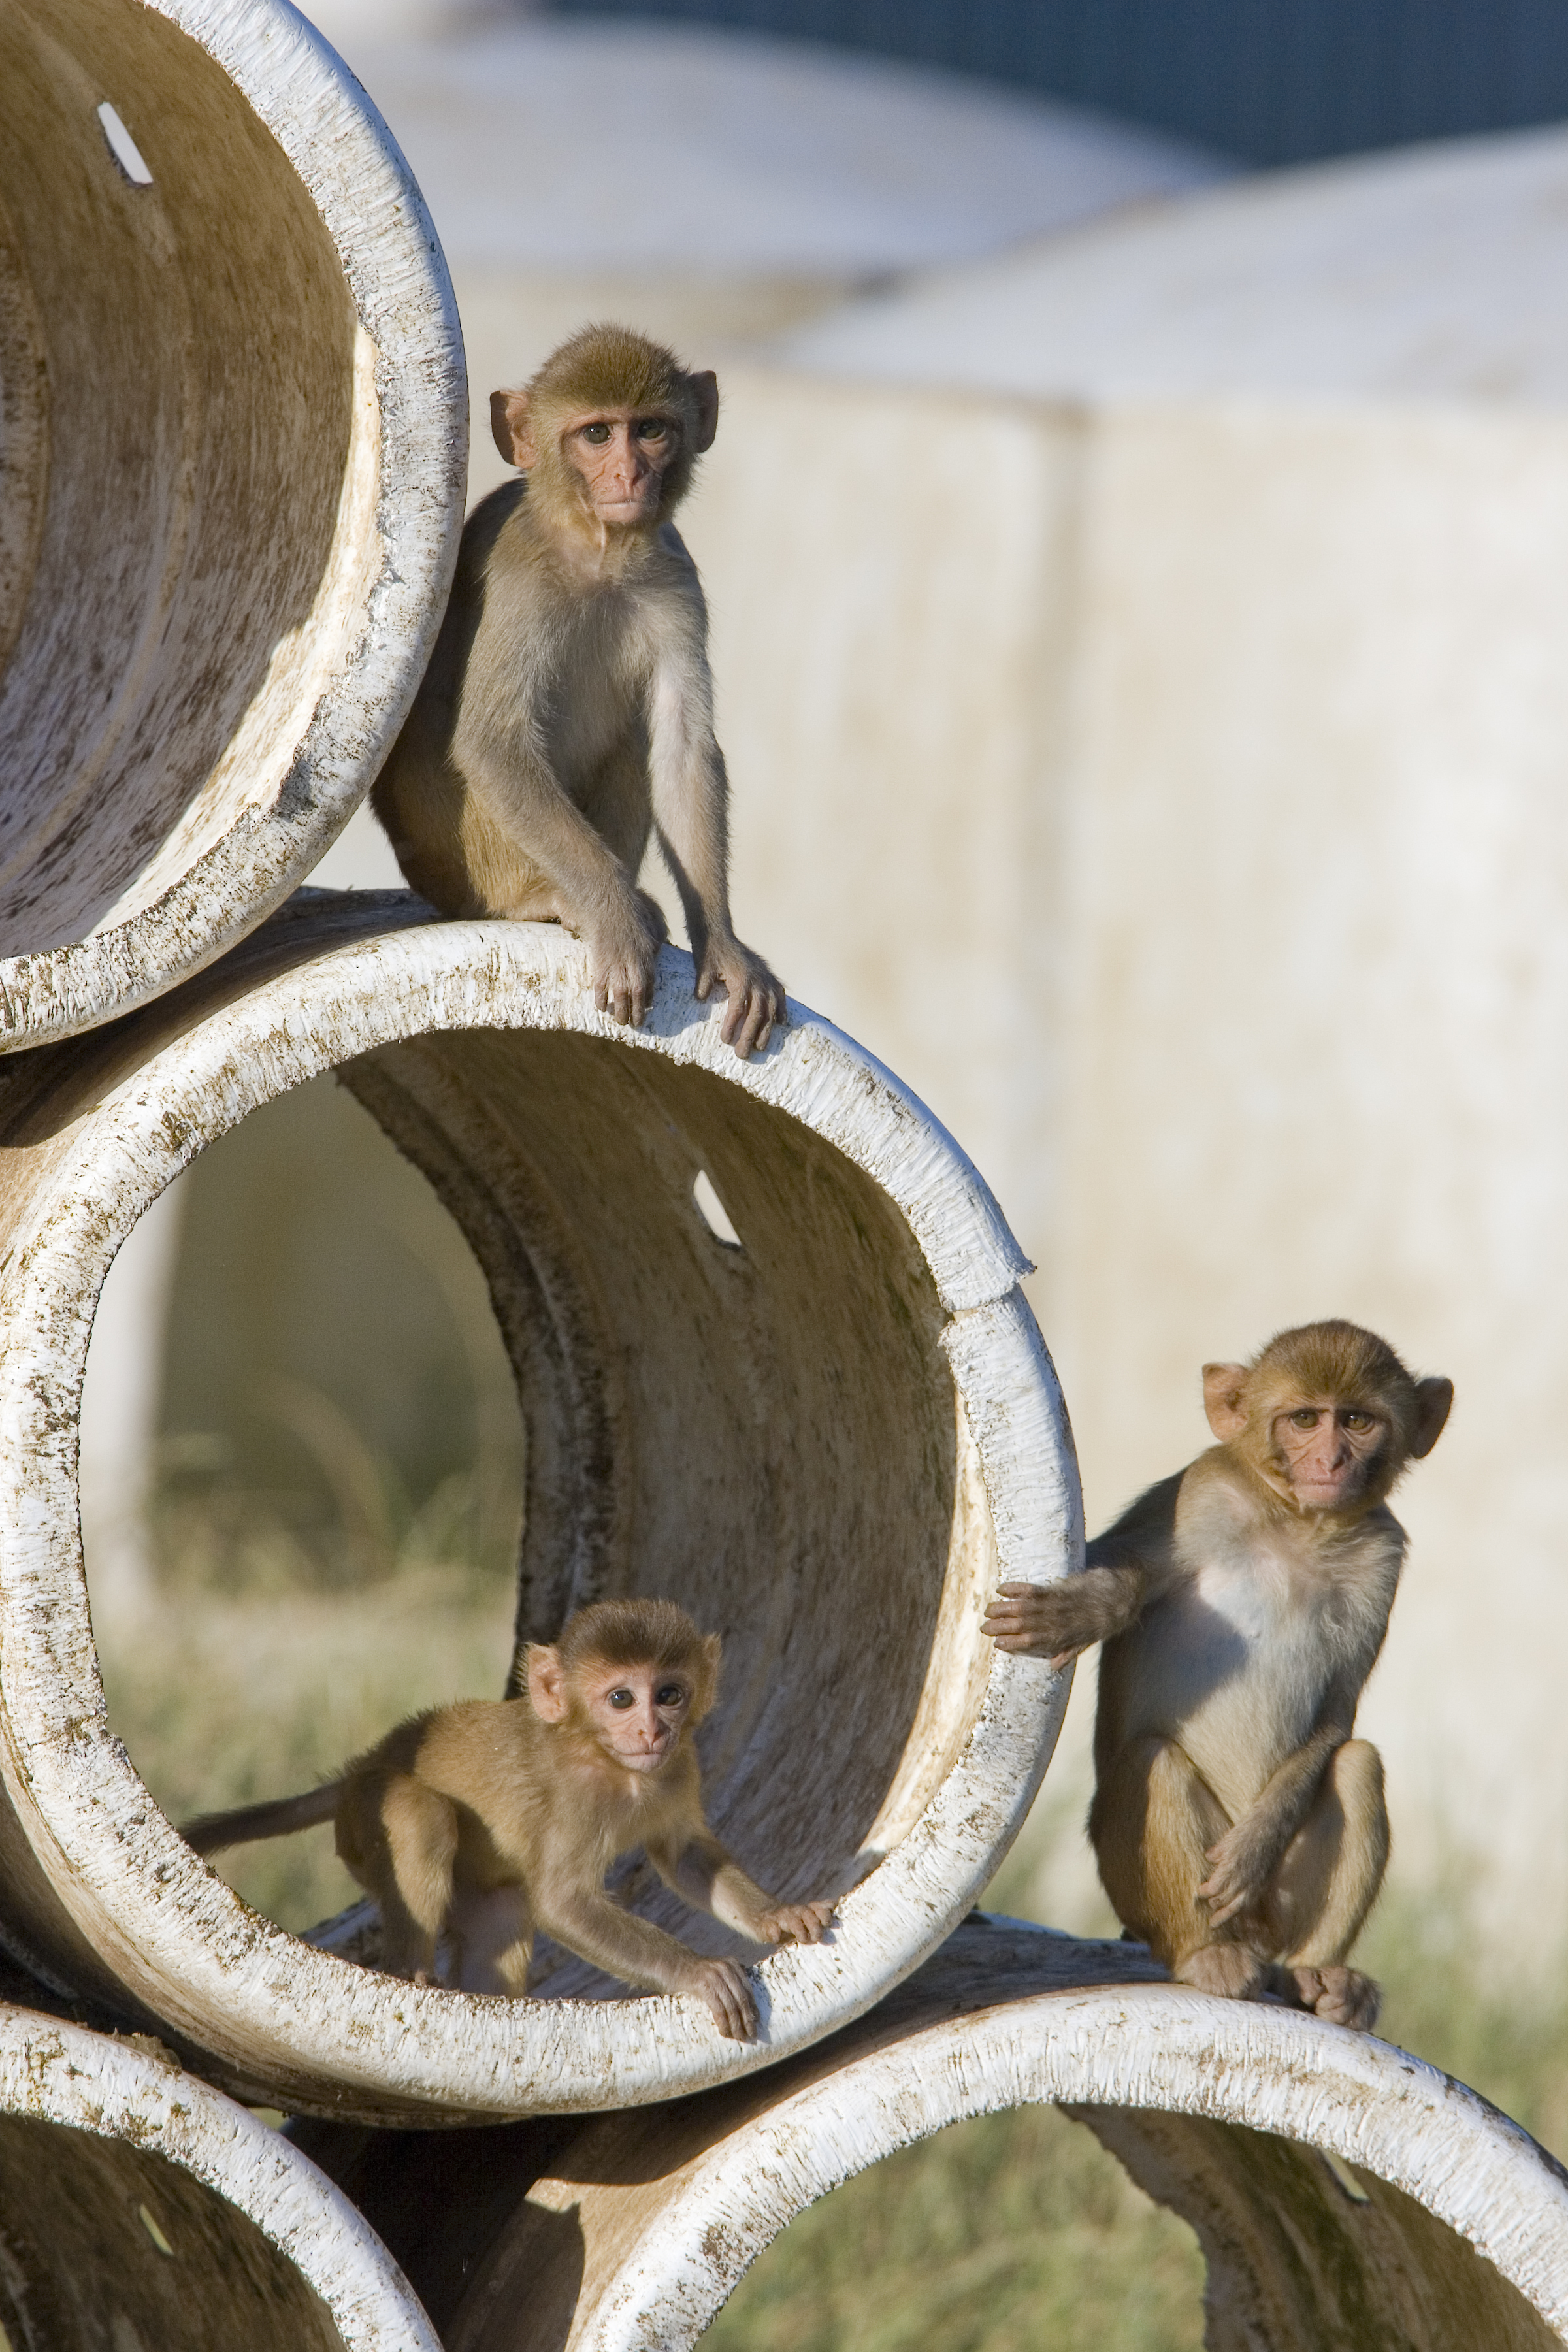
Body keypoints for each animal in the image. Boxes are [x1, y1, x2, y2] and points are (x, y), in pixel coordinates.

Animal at [182, 1599, 832, 2041]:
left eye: (669, 1693)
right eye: (621, 1699)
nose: (652, 1730)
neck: (616, 1766)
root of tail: (364, 1765)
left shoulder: (680, 1770)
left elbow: (685, 1857)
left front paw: (778, 1914)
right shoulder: (576, 1798)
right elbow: (563, 1903)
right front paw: (699, 1972)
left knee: (503, 1911)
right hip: (366, 1817)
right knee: (424, 1817)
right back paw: (410, 1971)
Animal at [368, 327, 785, 1063]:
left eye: (649, 430)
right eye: (596, 435)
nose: (630, 476)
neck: (599, 553)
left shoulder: (675, 578)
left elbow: (682, 747)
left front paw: (724, 943)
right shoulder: (519, 580)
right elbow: (493, 744)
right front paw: (613, 917)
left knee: (633, 744)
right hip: (457, 869)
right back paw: (540, 899)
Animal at [987, 1317, 1457, 2032]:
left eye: (1356, 1420)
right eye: (1304, 1419)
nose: (1332, 1463)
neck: (1300, 1524)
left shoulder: (1381, 1560)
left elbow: (1338, 1710)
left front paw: (1255, 1846)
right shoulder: (1197, 1498)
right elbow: (1121, 1567)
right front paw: (1088, 1610)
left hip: (1271, 1907)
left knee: (1356, 1765)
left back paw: (1317, 1977)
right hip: (1145, 1898)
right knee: (1152, 1760)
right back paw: (1205, 1956)